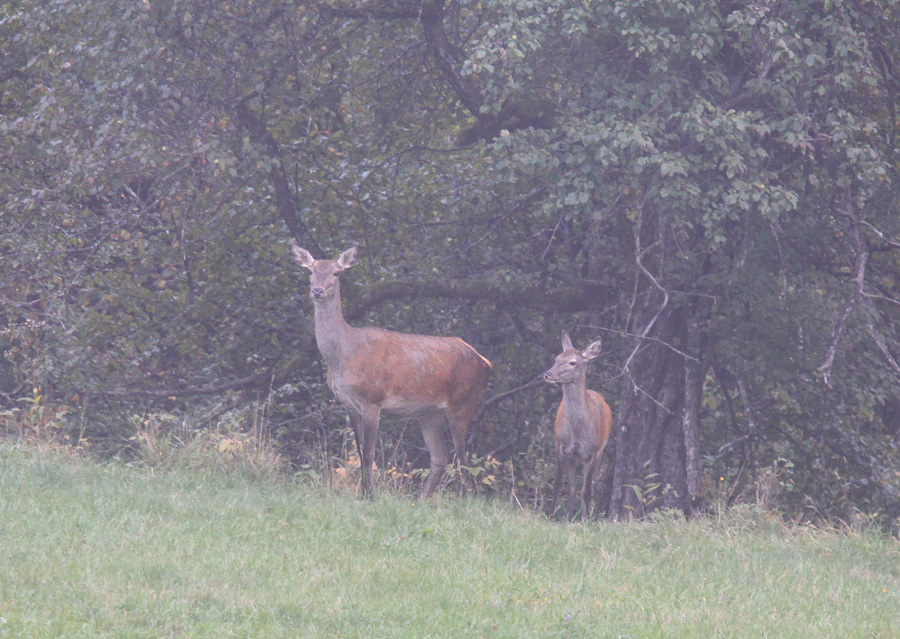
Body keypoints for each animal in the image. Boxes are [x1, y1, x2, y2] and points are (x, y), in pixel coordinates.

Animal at [292, 245, 492, 500]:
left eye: (337, 272)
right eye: (310, 270)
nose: (316, 290)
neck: (343, 356)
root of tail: (485, 362)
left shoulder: (372, 399)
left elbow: (369, 454)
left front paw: (371, 496)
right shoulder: (348, 403)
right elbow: (359, 453)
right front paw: (363, 494)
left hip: (463, 403)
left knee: (463, 459)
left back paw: (461, 500)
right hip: (429, 413)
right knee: (441, 457)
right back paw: (422, 499)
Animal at [540, 330, 612, 520]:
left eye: (573, 362)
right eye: (557, 358)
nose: (548, 374)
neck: (578, 431)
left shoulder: (593, 451)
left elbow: (586, 490)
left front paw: (585, 520)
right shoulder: (560, 444)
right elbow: (559, 483)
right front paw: (552, 516)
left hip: (599, 452)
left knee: (588, 486)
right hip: (573, 456)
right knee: (572, 486)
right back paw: (569, 517)